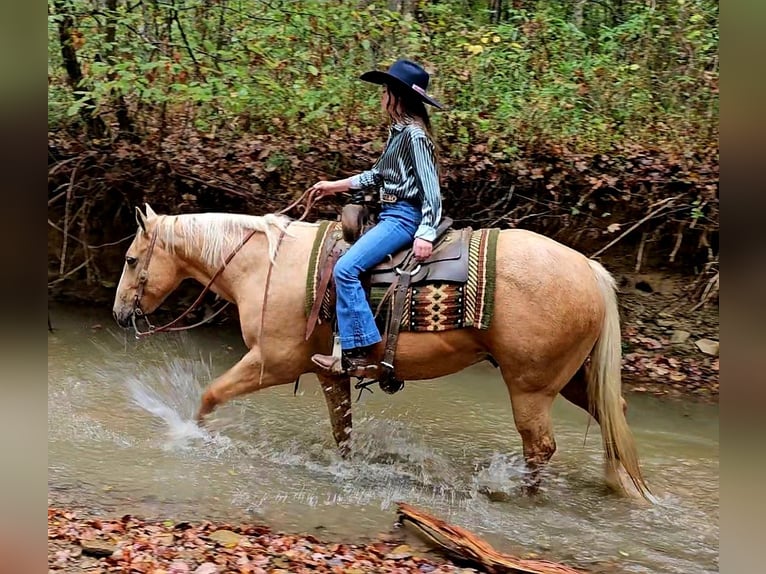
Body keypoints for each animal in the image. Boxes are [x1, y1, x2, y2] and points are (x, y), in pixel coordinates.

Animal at [112, 204, 651, 501]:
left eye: (132, 259)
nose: (119, 313)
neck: (266, 268)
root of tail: (588, 269)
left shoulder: (271, 362)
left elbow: (210, 395)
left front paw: (190, 434)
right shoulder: (328, 372)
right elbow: (343, 431)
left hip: (530, 387)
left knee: (540, 447)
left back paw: (522, 494)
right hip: (575, 378)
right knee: (614, 414)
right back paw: (620, 483)